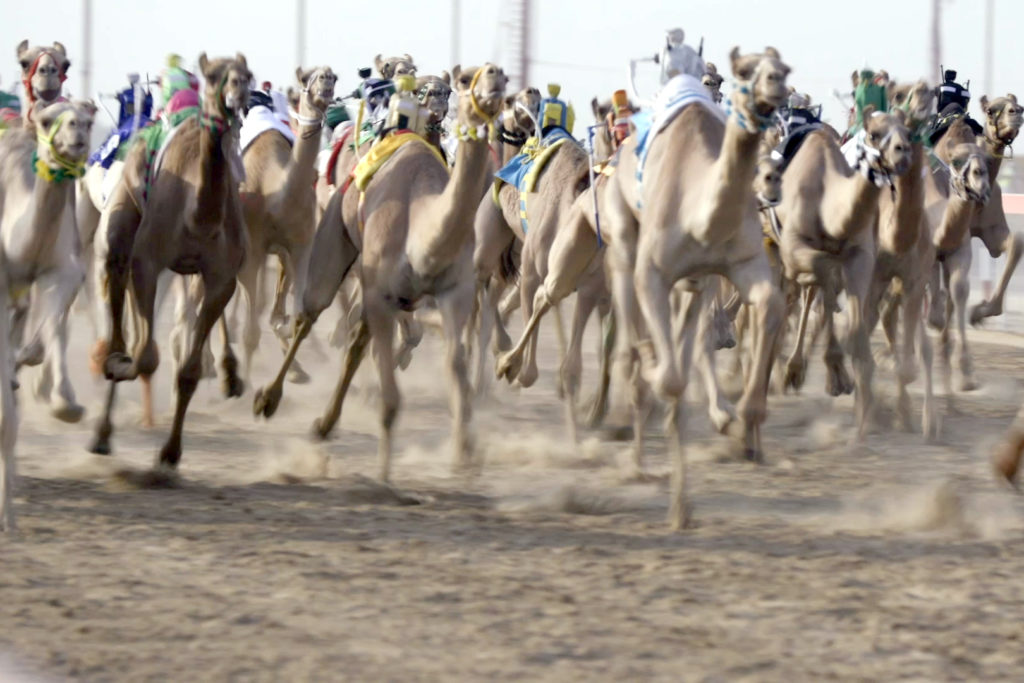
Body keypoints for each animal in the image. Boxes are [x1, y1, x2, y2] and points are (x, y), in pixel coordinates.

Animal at [89, 53, 252, 468]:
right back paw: (102, 429)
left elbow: (189, 372)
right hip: (123, 218)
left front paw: (170, 453)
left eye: (247, 75)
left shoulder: (220, 278)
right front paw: (120, 364)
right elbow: (145, 356)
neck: (198, 217)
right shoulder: (147, 260)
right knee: (117, 291)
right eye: (214, 76)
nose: (237, 93)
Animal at [237, 65, 336, 385]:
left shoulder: (301, 246)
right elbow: (250, 332)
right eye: (308, 77)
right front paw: (242, 386)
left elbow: (295, 316)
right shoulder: (252, 251)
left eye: (334, 77)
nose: (326, 78)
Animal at [254, 63, 508, 481]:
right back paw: (268, 399)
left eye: (500, 76)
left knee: (357, 341)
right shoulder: (380, 292)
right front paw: (383, 476)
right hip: (334, 237)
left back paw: (323, 425)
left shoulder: (454, 293)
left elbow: (456, 373)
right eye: (466, 78)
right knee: (309, 315)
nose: (494, 77)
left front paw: (464, 454)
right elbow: (391, 399)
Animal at [777, 107, 913, 440]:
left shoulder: (860, 256)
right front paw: (837, 374)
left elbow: (856, 328)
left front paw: (865, 413)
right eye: (874, 134)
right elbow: (824, 278)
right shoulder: (792, 247)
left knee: (811, 294)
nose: (902, 152)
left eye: (908, 131)